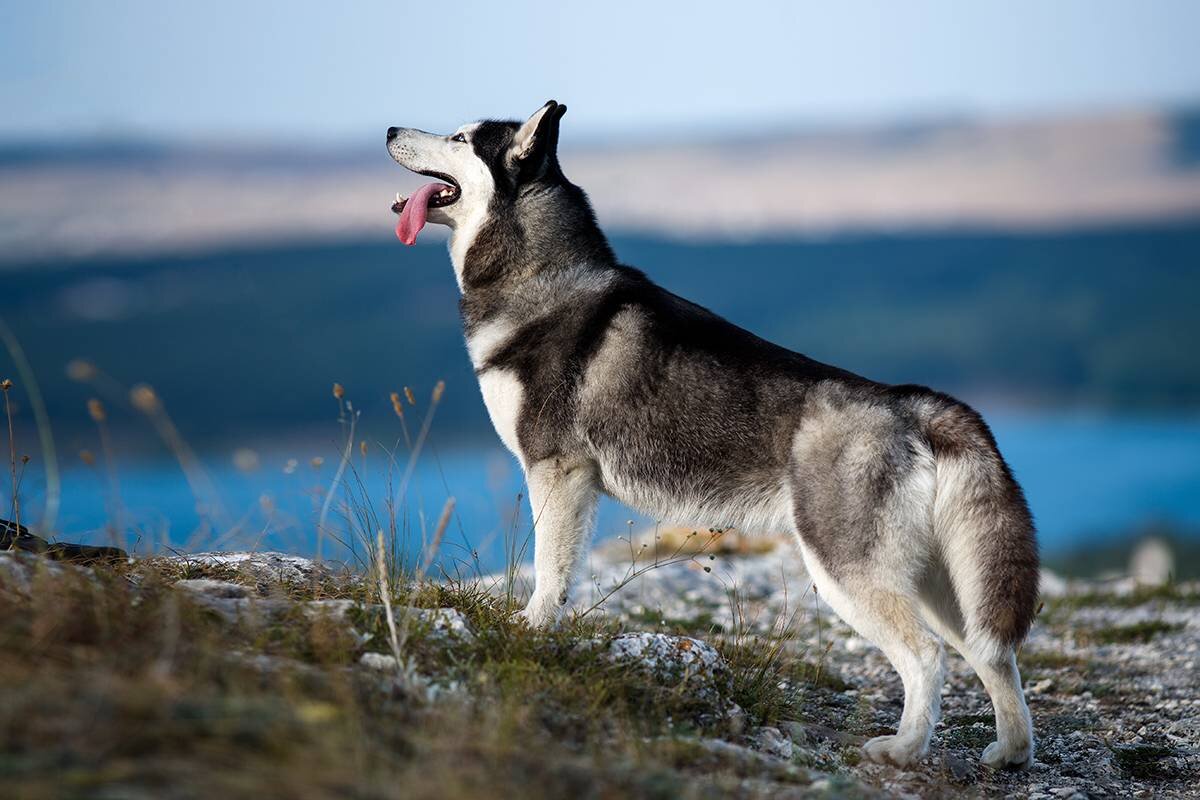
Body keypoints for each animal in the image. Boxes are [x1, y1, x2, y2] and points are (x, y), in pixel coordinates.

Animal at [386, 100, 1041, 767]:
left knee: (927, 655)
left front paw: (532, 630)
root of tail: (910, 404)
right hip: (944, 583)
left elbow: (548, 571)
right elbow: (564, 571)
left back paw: (904, 748)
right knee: (993, 655)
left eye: (460, 137)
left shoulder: (556, 470)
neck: (541, 278)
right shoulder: (579, 484)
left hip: (847, 568)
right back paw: (1010, 752)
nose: (388, 130)